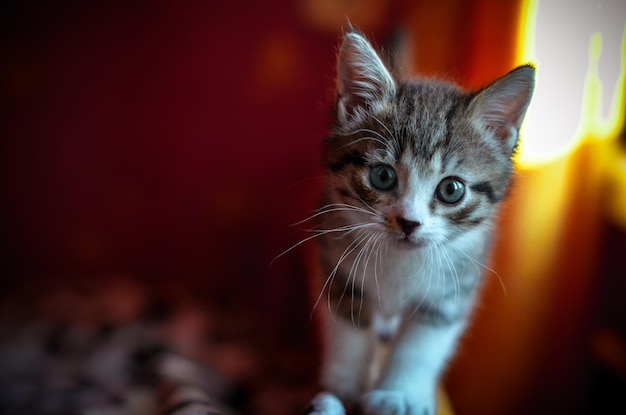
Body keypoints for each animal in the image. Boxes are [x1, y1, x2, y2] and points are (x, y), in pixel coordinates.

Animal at [304, 30, 532, 415]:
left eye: (451, 189)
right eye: (382, 176)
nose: (409, 222)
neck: (401, 263)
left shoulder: (456, 285)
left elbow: (421, 345)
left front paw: (399, 394)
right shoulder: (335, 261)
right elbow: (350, 327)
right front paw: (344, 386)